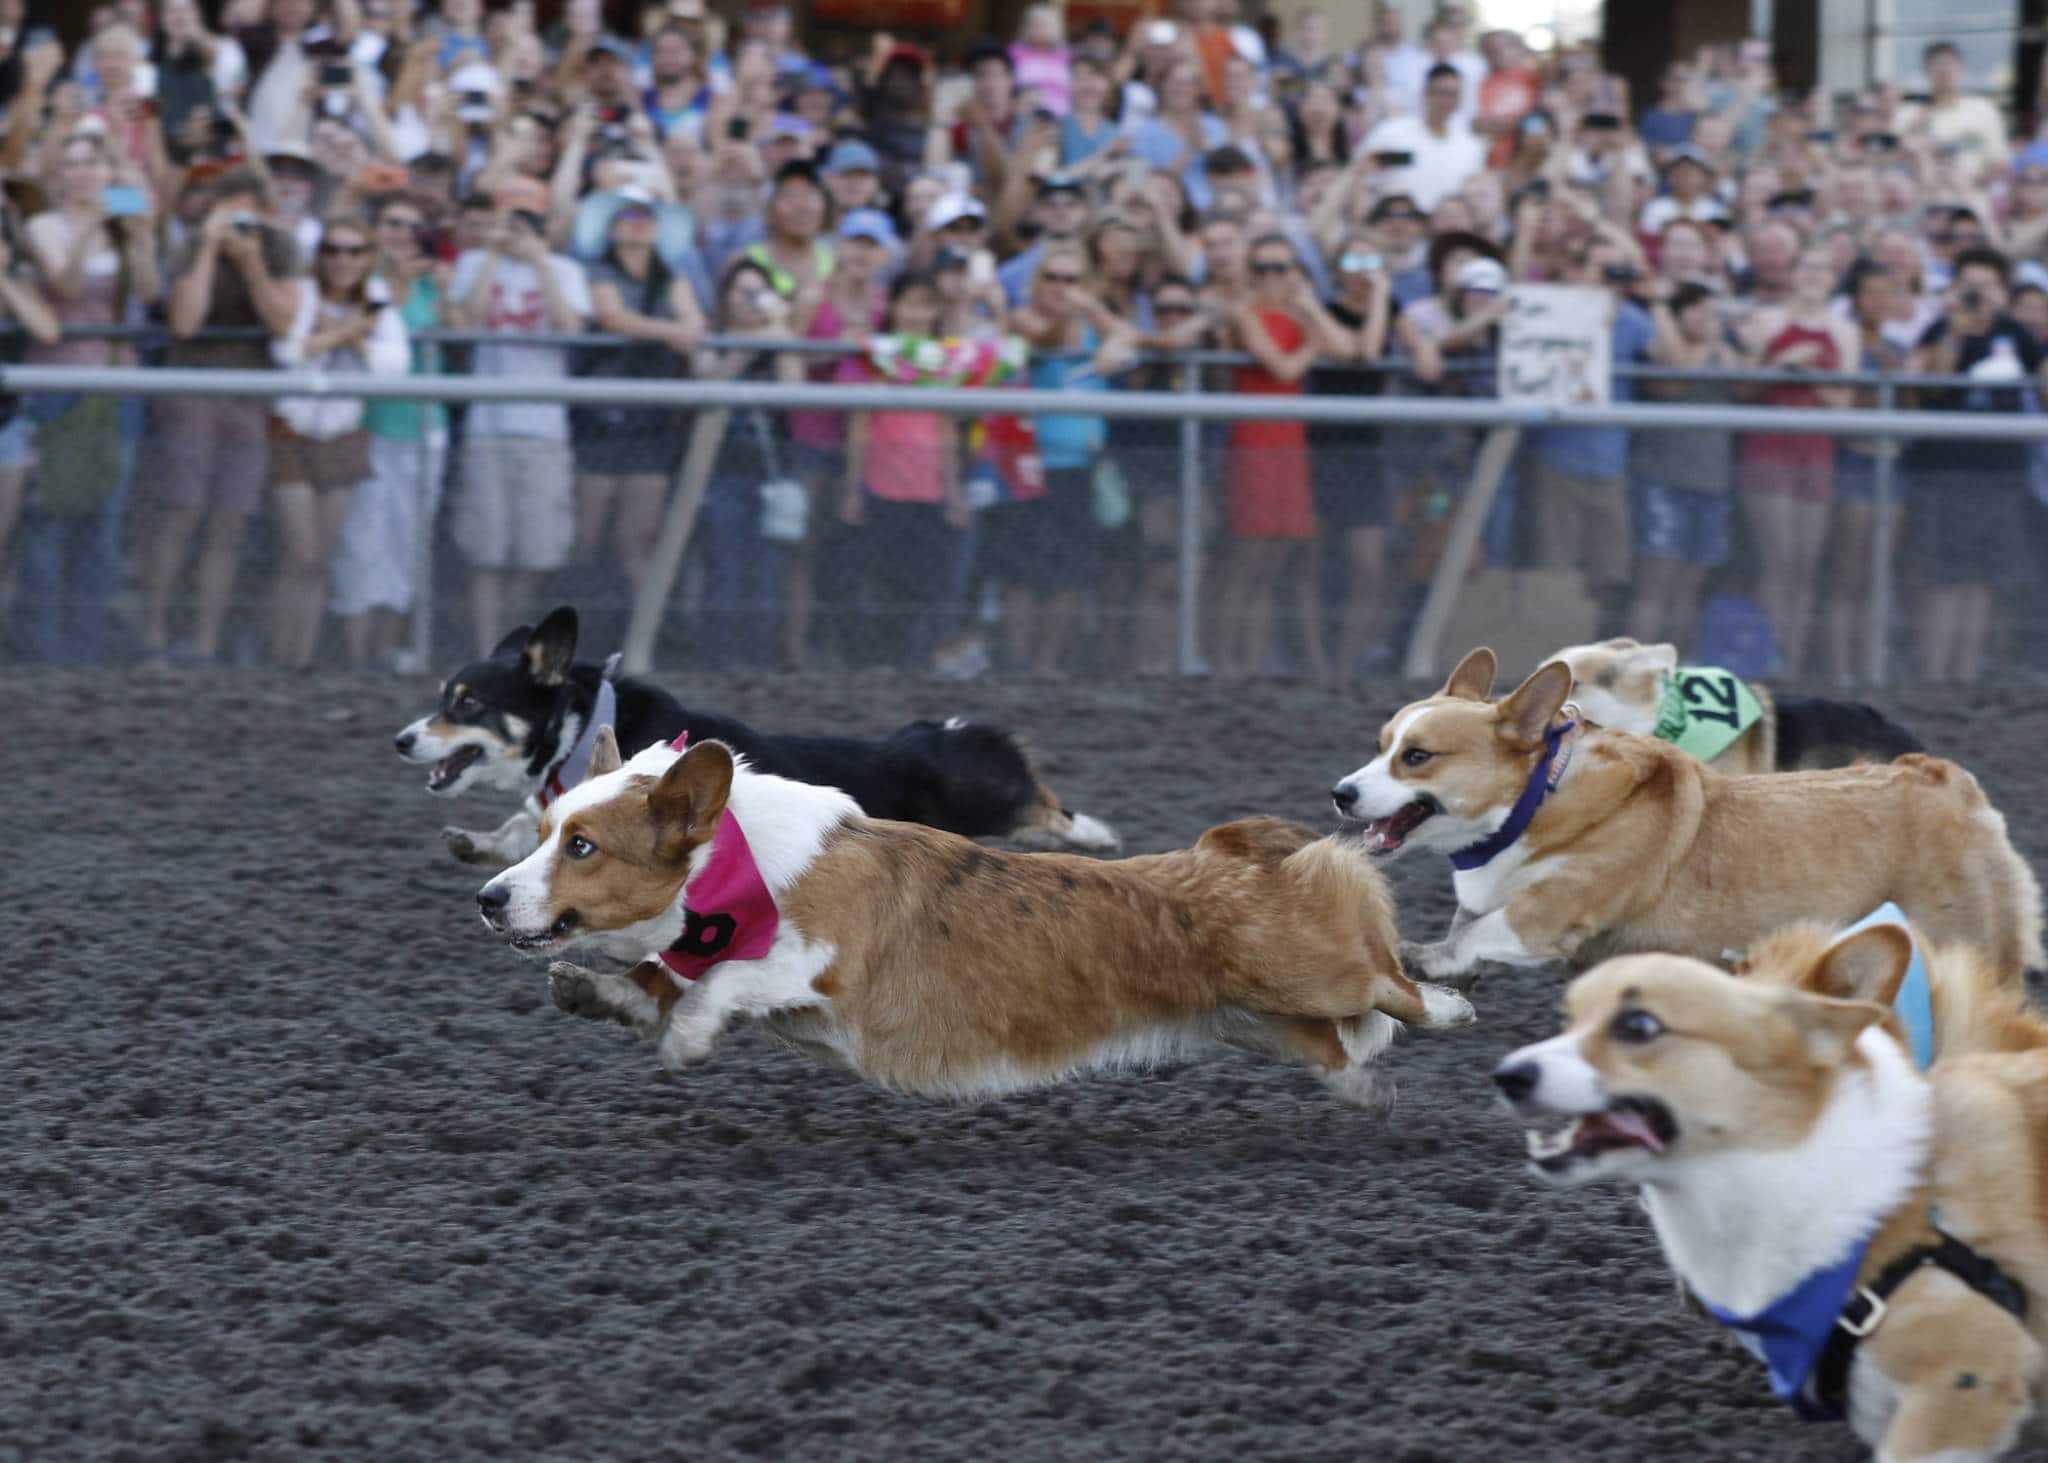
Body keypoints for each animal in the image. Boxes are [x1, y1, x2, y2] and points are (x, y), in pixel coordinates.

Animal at [473, 729, 1482, 1106]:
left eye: (583, 846)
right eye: (547, 828)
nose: (488, 899)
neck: (748, 867)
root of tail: (1233, 850)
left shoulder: (822, 958)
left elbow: (722, 983)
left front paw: (687, 1037)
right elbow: (649, 981)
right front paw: (588, 989)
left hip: (1310, 968)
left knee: (1395, 984)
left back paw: (1456, 1002)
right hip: (1264, 1021)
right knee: (1348, 1048)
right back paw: (1366, 1088)